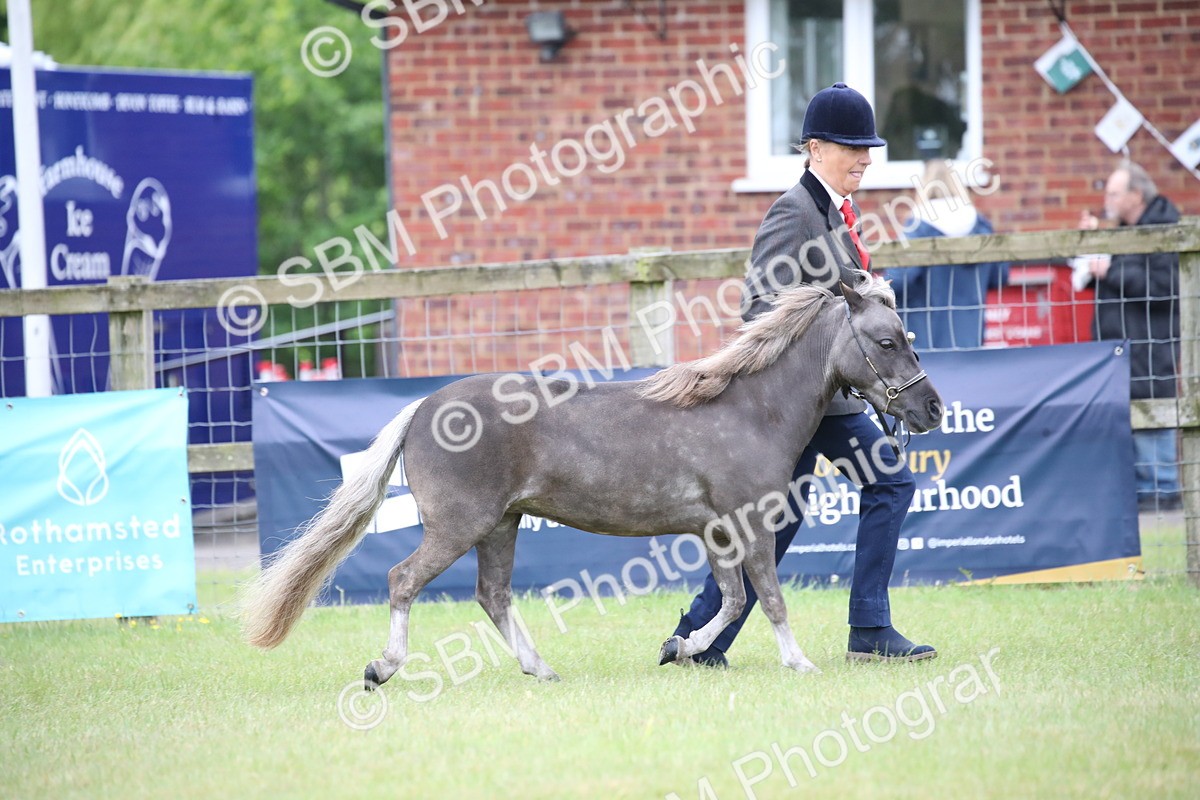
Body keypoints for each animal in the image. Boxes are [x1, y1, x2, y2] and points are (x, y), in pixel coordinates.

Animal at [240, 274, 944, 686]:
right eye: (887, 341)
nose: (931, 409)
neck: (749, 408)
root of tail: (423, 408)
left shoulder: (717, 532)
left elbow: (731, 600)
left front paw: (678, 648)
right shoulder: (748, 525)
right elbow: (767, 597)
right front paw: (797, 662)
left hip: (500, 525)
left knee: (493, 596)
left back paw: (541, 669)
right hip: (459, 525)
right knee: (402, 580)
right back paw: (383, 668)